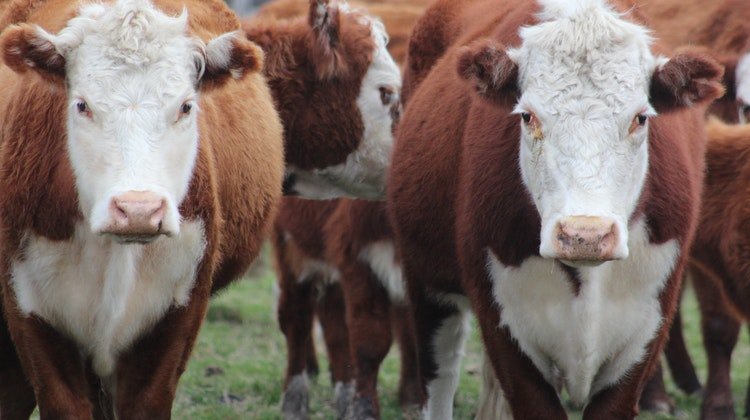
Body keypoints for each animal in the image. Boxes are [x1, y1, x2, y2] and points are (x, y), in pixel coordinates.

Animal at [384, 0, 724, 418]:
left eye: (640, 118)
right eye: (527, 116)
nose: (585, 235)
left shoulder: (647, 329)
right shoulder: (505, 331)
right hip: (426, 285)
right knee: (441, 376)